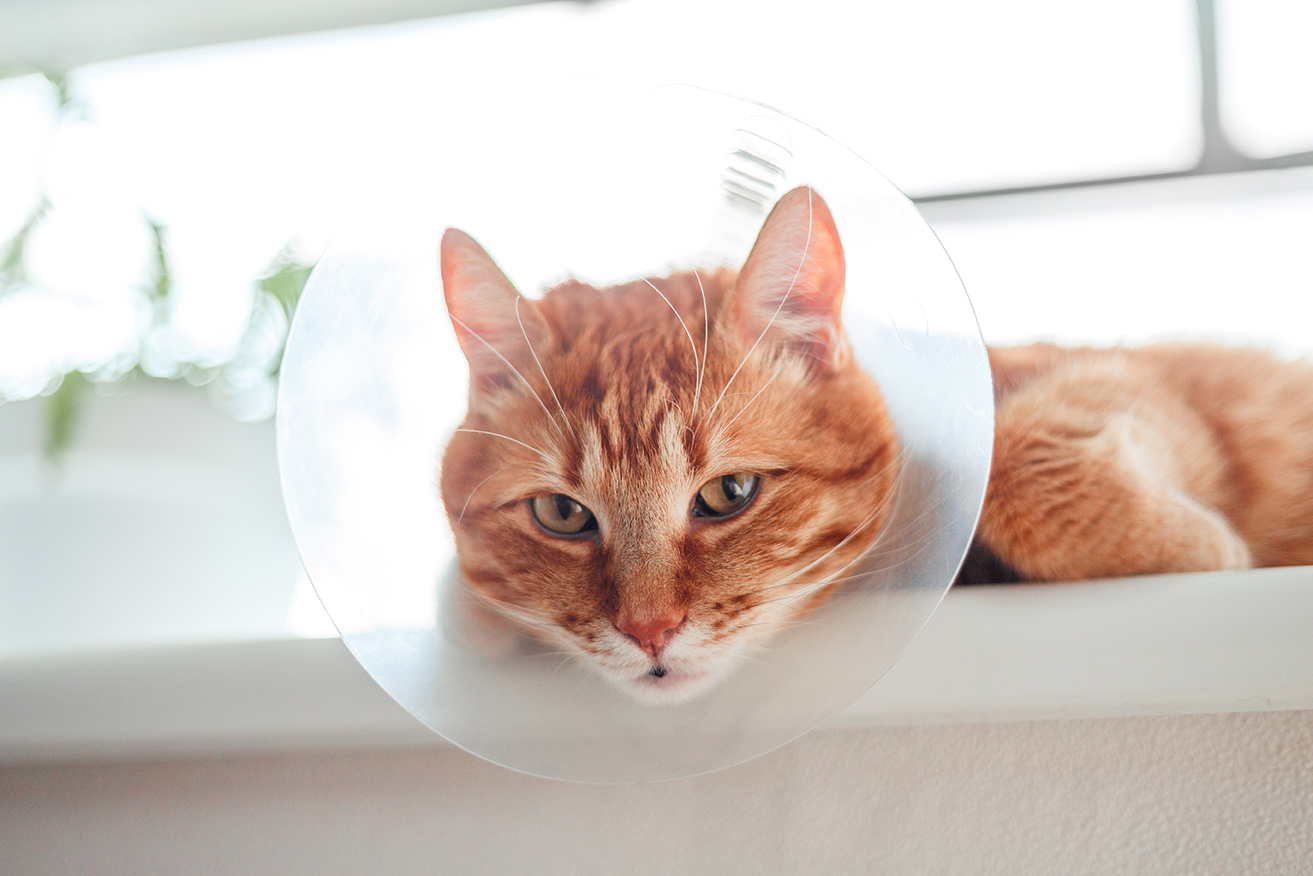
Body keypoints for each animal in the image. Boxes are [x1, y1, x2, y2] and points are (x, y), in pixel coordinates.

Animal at [438, 189, 1313, 703]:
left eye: (728, 494)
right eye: (561, 515)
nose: (648, 631)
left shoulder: (1127, 382)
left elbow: (1027, 467)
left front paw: (1208, 546)